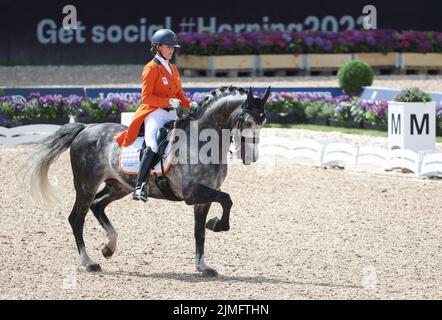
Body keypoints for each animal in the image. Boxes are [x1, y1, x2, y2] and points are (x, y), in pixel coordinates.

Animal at [28, 86, 270, 276]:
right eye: (247, 121)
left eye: (263, 122)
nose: (252, 157)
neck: (201, 142)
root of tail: (85, 129)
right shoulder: (192, 193)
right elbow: (227, 199)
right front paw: (217, 224)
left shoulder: (204, 197)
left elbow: (200, 231)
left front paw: (203, 265)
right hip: (86, 185)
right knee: (77, 218)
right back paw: (89, 262)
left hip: (119, 186)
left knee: (97, 206)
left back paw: (108, 248)